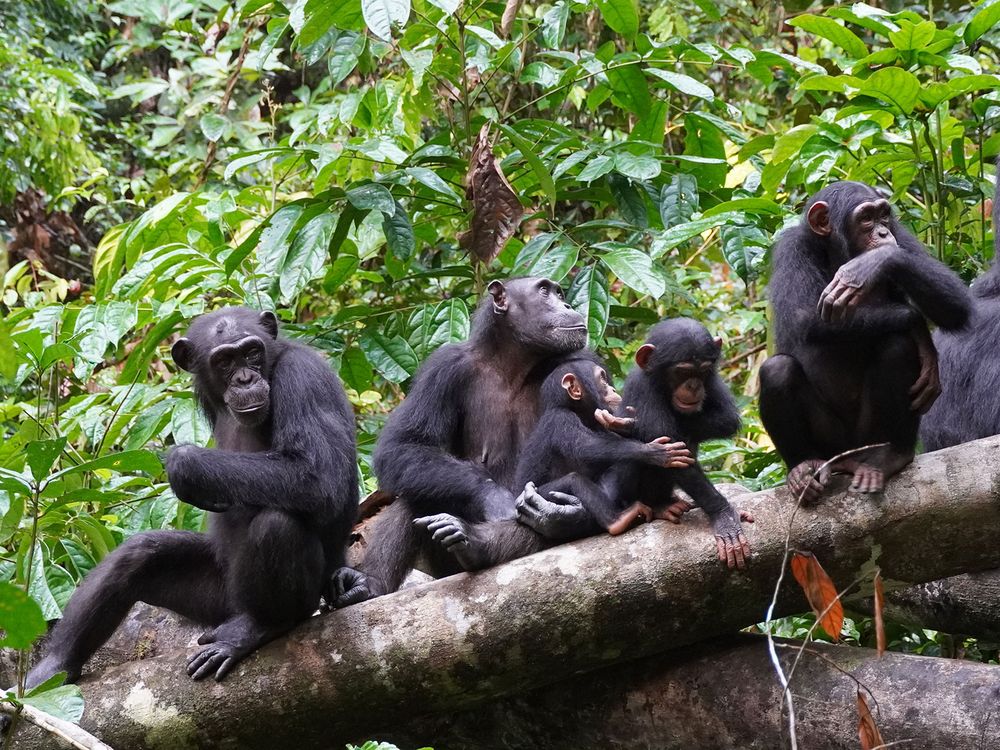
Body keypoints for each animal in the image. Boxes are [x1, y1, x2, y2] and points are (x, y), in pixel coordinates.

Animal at [26, 306, 360, 688]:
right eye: (224, 361)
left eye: (252, 353)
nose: (245, 379)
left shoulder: (304, 378)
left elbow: (319, 476)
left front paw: (185, 464)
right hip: (216, 599)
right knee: (139, 553)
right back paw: (52, 669)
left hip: (298, 599)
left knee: (278, 525)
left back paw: (258, 626)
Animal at [328, 280, 592, 608]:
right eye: (545, 292)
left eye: (559, 293)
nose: (567, 305)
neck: (514, 362)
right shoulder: (443, 368)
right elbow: (404, 444)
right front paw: (495, 497)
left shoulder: (582, 363)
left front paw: (559, 512)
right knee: (417, 492)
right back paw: (370, 584)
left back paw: (481, 542)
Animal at [410, 352, 692, 568]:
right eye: (602, 379)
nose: (613, 389)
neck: (573, 409)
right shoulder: (561, 420)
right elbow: (587, 447)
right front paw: (654, 452)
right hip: (535, 494)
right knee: (574, 480)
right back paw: (618, 520)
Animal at [756, 179, 968, 502]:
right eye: (866, 218)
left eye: (883, 215)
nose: (882, 233)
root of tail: (848, 457)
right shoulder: (791, 248)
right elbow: (803, 316)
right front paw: (918, 326)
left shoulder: (901, 233)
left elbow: (957, 306)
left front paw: (876, 263)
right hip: (829, 443)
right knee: (777, 370)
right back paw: (803, 469)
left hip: (868, 437)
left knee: (897, 345)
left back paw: (892, 455)